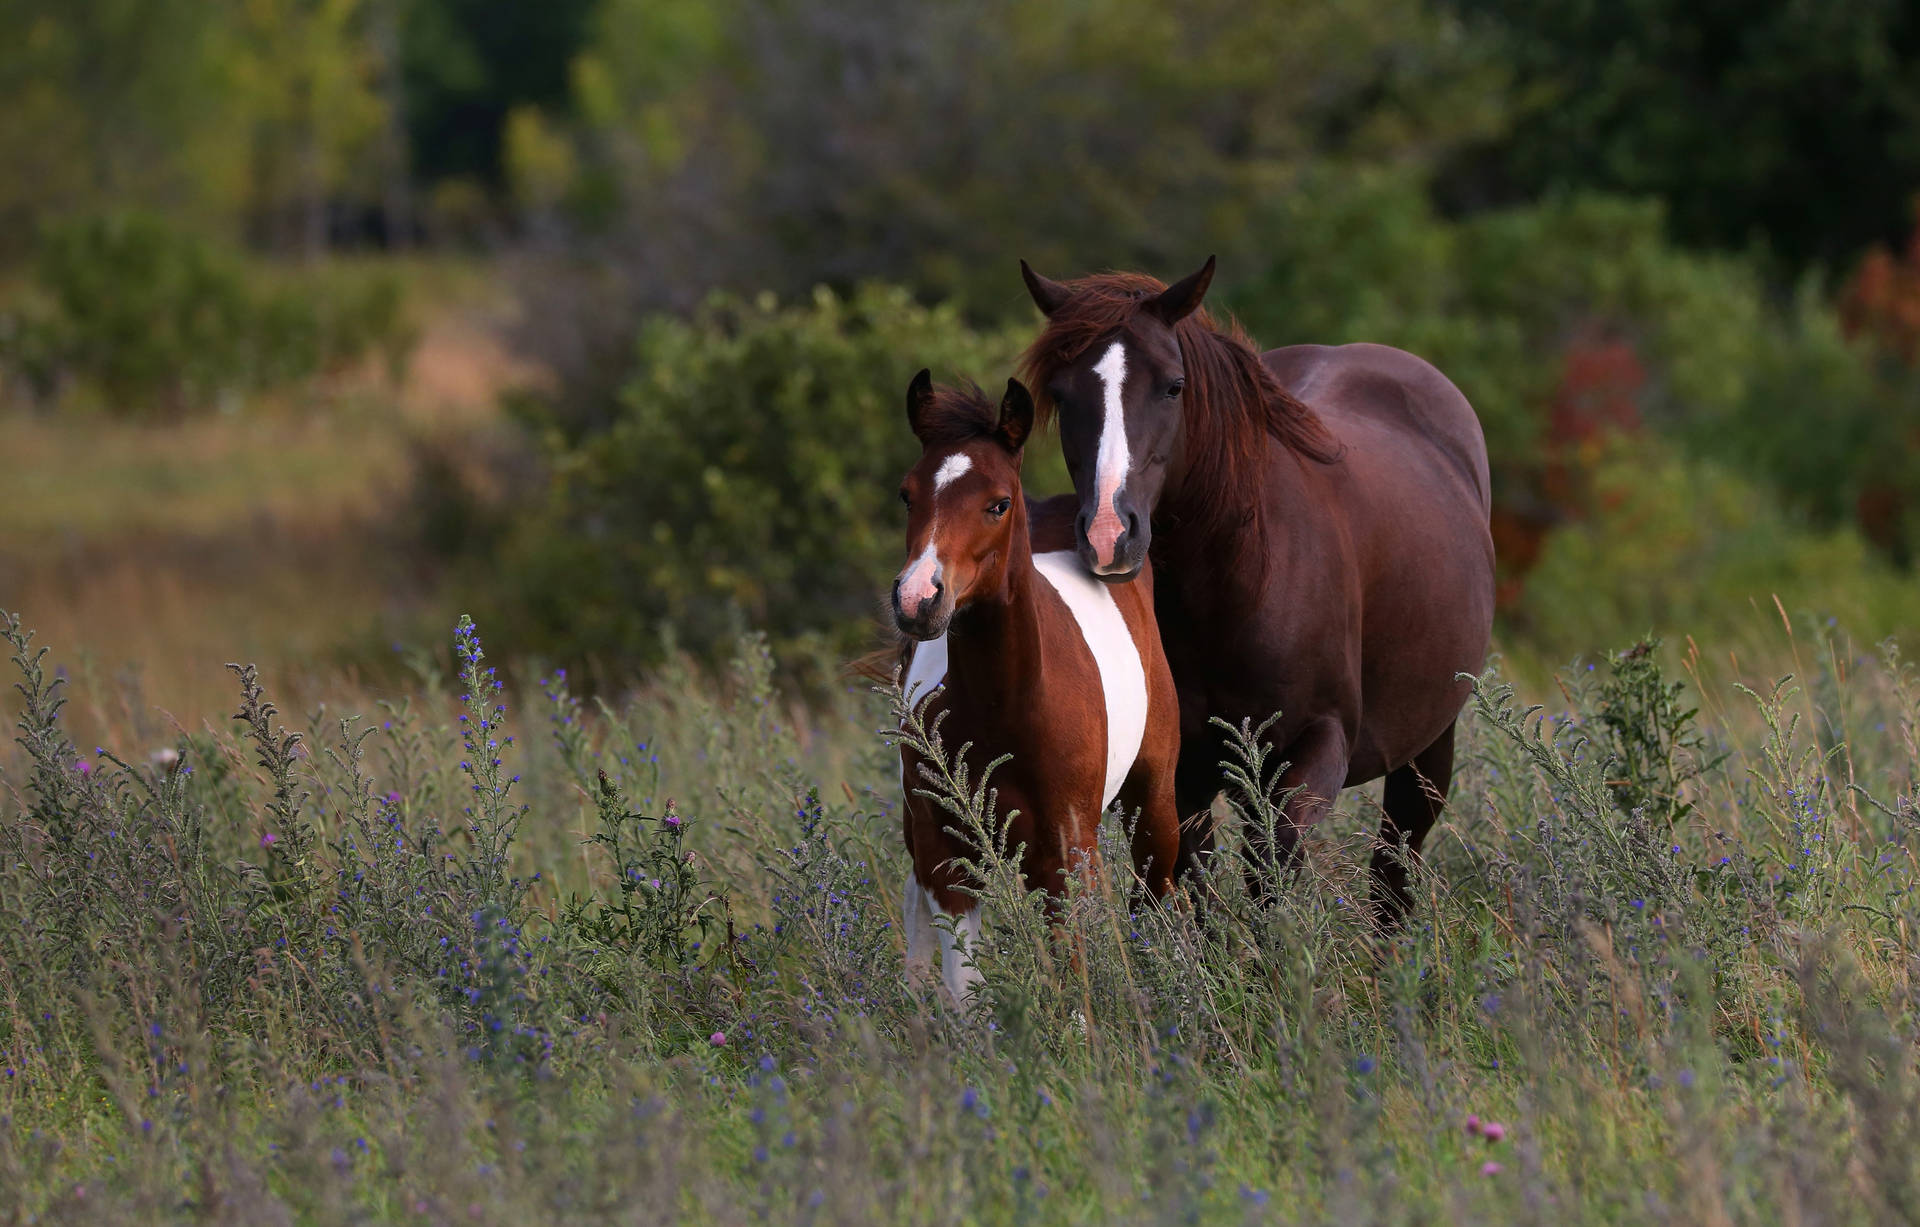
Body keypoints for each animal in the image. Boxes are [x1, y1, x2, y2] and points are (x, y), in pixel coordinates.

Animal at [887, 374, 1182, 1006]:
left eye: (998, 503)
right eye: (907, 495)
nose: (918, 599)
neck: (1006, 708)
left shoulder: (1067, 854)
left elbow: (1075, 975)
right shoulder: (948, 854)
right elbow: (965, 988)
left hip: (1153, 801)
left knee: (1160, 891)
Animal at [1013, 261, 1489, 921]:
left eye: (1173, 386)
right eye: (1061, 394)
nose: (1110, 535)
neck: (1236, 588)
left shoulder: (1315, 751)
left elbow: (1272, 874)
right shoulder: (1177, 775)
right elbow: (1192, 883)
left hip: (1428, 748)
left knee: (1395, 865)